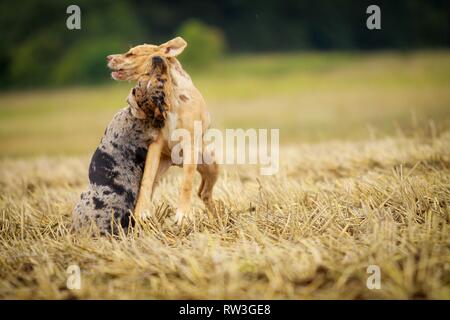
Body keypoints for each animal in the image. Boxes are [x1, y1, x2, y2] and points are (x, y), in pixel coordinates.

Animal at [106, 37, 218, 222]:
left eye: (131, 54)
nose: (108, 57)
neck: (172, 96)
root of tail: (175, 161)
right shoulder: (155, 144)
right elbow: (146, 181)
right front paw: (141, 212)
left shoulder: (190, 144)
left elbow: (186, 182)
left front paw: (182, 215)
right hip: (161, 165)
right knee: (154, 186)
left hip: (211, 165)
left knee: (205, 193)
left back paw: (218, 216)